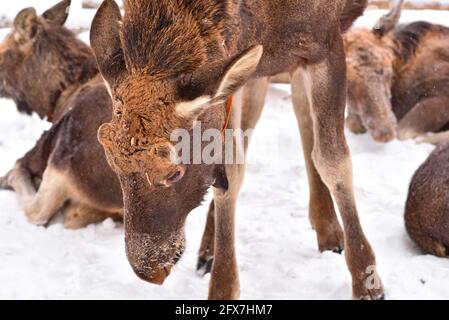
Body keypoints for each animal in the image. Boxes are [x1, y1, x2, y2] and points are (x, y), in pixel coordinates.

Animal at [92, 0, 384, 300]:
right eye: (112, 163)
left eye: (174, 173)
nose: (148, 271)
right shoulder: (240, 65)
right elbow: (229, 174)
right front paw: (223, 287)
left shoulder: (326, 42)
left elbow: (333, 160)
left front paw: (367, 282)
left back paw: (329, 230)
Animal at [344, 0, 449, 142]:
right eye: (347, 82)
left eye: (384, 69)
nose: (384, 132)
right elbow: (350, 123)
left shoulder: (443, 93)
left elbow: (404, 133)